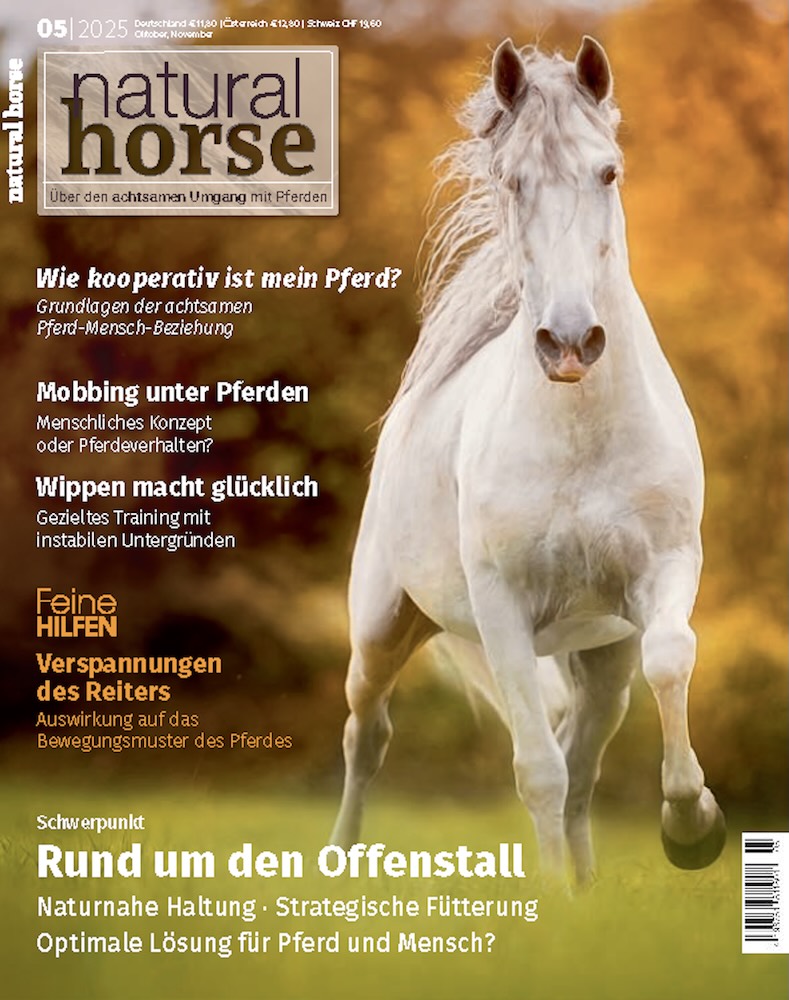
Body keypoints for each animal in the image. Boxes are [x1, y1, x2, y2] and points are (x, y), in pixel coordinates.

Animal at [330, 36, 725, 886]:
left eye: (607, 172)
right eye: (513, 181)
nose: (570, 342)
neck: (579, 438)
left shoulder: (662, 574)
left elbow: (670, 660)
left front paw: (691, 824)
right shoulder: (503, 611)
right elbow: (534, 771)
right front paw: (546, 904)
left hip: (600, 656)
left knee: (582, 762)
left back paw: (586, 887)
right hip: (381, 628)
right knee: (366, 734)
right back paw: (339, 861)